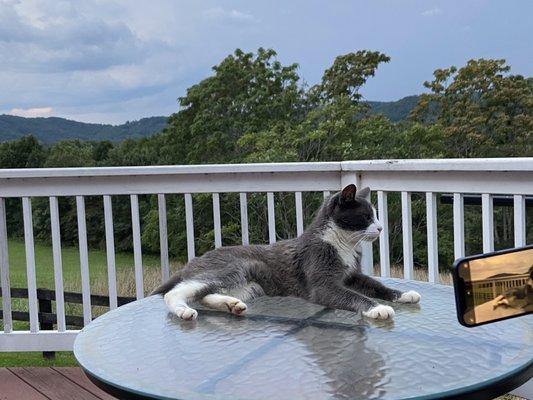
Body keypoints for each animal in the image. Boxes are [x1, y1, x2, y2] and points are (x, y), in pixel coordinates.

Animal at [153, 186, 420, 320]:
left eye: (375, 216)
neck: (342, 244)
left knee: (205, 294)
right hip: (232, 268)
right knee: (179, 291)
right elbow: (353, 295)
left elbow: (376, 285)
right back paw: (184, 311)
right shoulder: (321, 282)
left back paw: (232, 305)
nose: (380, 227)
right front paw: (376, 308)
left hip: (251, 286)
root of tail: (194, 260)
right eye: (365, 217)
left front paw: (403, 294)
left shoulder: (352, 275)